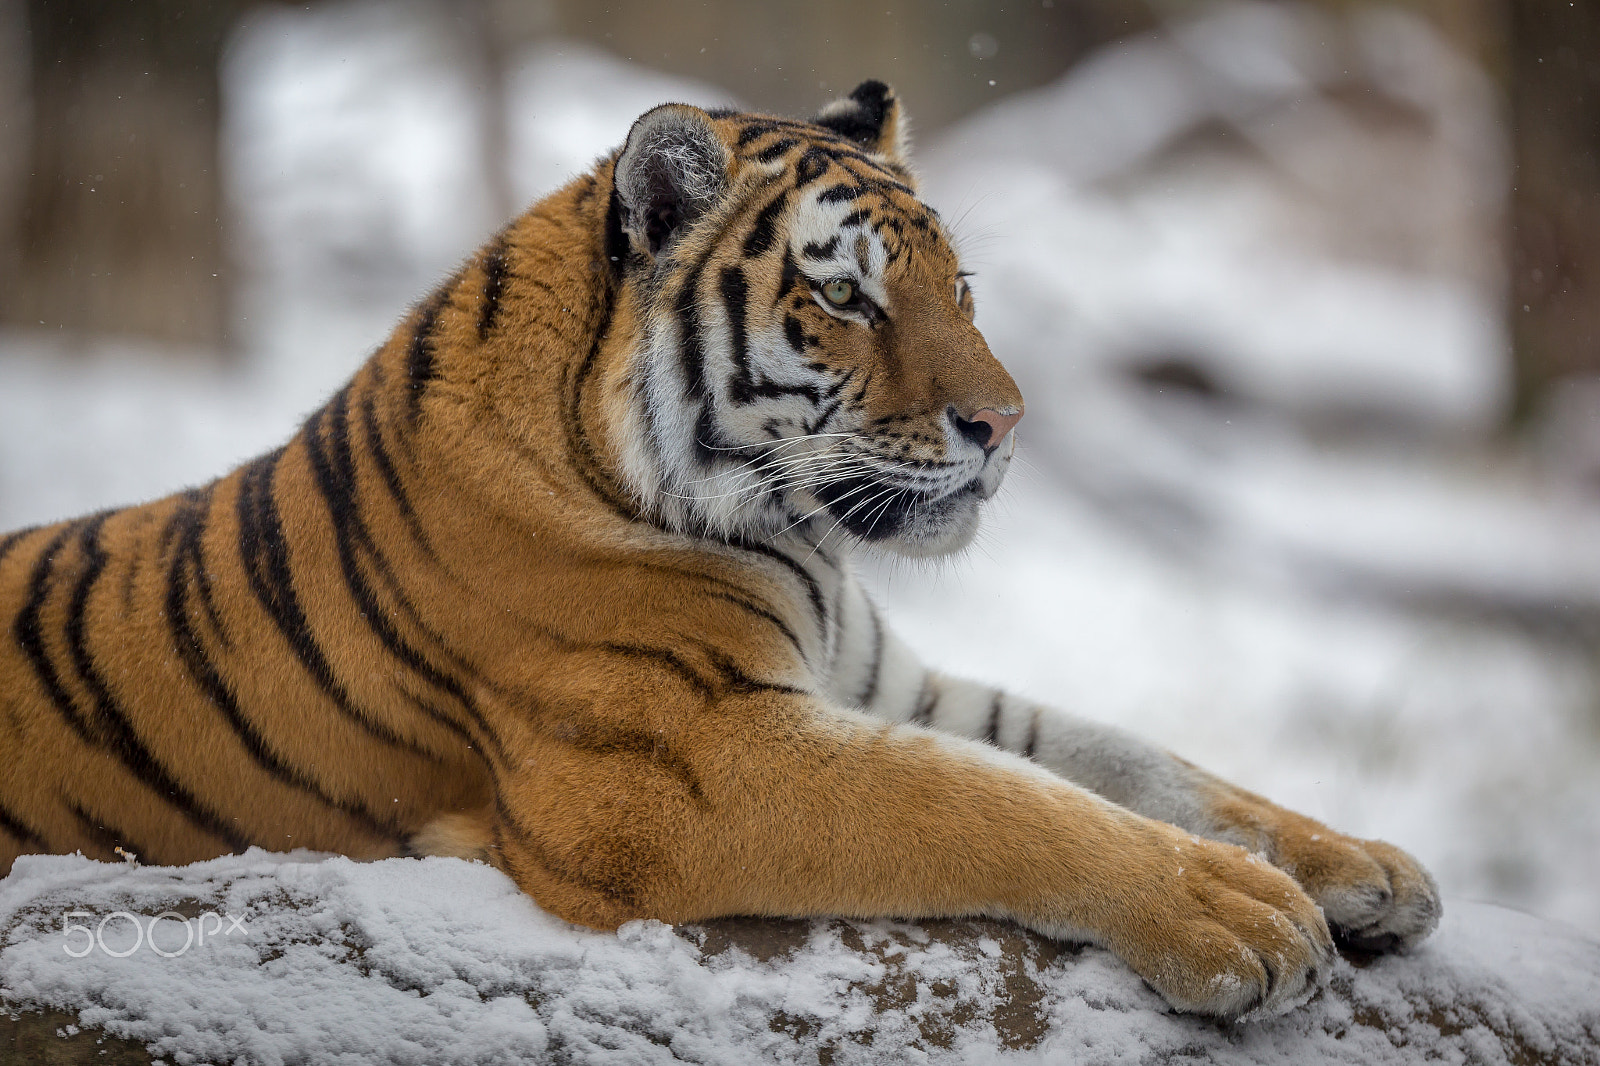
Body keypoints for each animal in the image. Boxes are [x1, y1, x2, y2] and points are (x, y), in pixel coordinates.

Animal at [0, 80, 1446, 1011]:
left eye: (960, 287)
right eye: (846, 295)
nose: (1007, 423)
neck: (797, 541)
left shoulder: (885, 682)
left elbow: (1129, 758)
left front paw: (1359, 866)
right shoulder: (683, 766)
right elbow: (995, 801)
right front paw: (1237, 916)